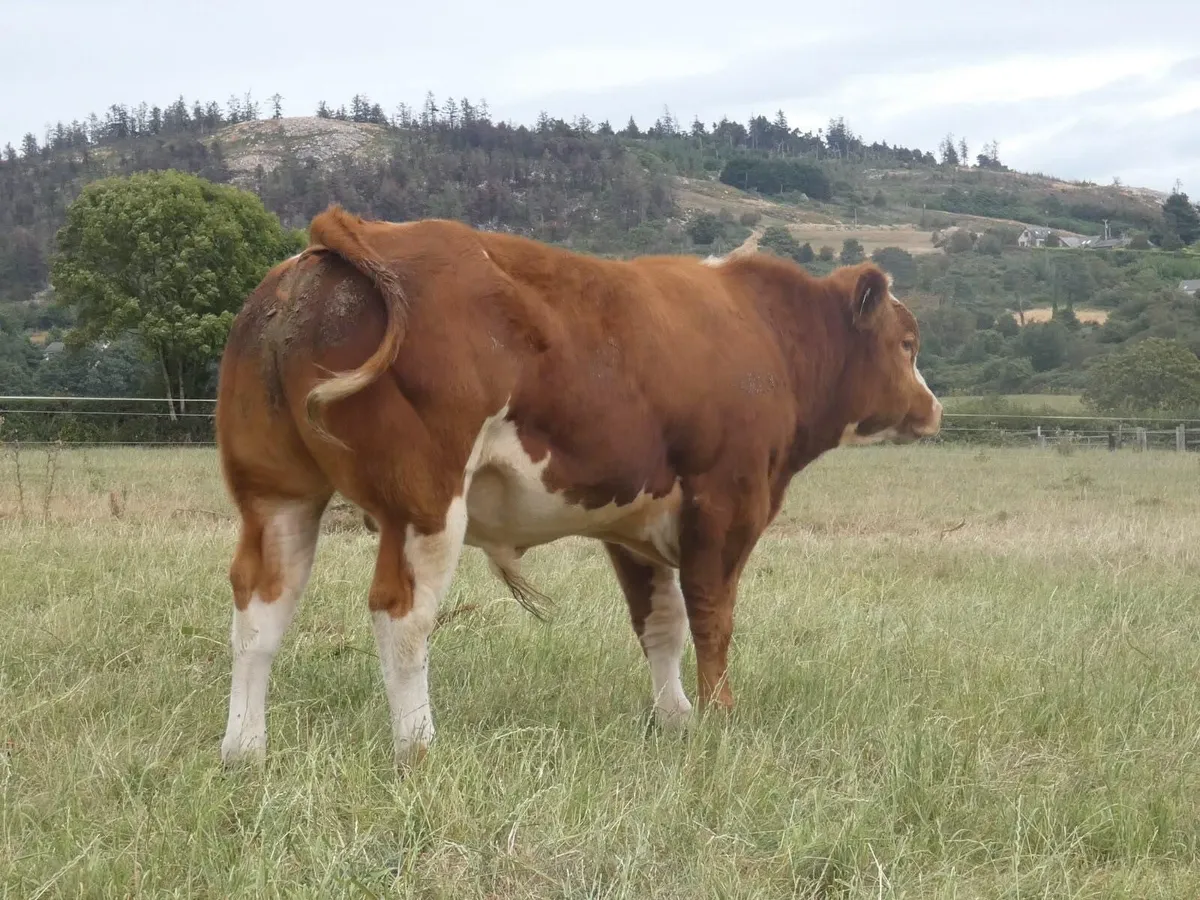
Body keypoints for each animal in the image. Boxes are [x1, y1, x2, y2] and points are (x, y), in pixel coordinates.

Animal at [214, 205, 941, 768]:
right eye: (907, 343)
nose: (933, 407)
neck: (764, 335)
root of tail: (357, 234)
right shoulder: (726, 503)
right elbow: (713, 617)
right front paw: (720, 717)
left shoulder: (636, 523)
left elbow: (660, 623)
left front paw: (675, 718)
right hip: (425, 500)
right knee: (402, 615)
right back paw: (418, 746)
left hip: (276, 492)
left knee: (261, 609)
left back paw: (244, 750)